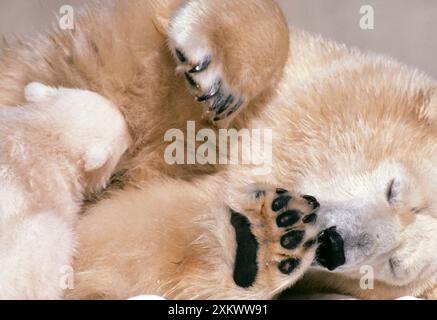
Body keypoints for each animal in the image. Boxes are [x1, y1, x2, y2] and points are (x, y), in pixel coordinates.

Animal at [0, 0, 436, 300]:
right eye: (395, 190)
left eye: (393, 266)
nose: (334, 245)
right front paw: (218, 71)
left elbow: (115, 244)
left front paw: (265, 237)